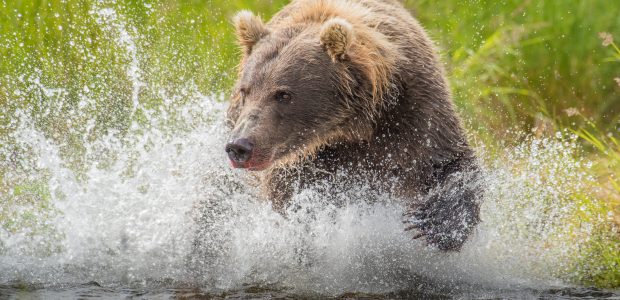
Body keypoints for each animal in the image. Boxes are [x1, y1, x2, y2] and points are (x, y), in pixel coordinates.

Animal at [225, 0, 482, 252]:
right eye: (245, 91)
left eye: (283, 95)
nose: (239, 146)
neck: (350, 126)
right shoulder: (302, 163)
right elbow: (290, 200)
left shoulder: (415, 110)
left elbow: (450, 161)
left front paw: (433, 224)